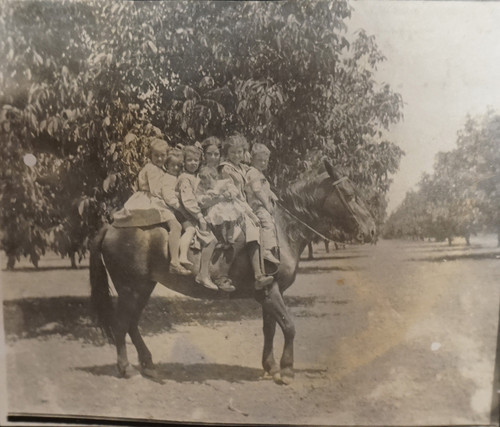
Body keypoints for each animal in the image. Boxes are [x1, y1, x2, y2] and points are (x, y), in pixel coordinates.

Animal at [90, 160, 376, 384]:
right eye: (350, 195)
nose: (372, 230)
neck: (281, 228)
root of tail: (111, 226)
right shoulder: (270, 290)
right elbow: (289, 327)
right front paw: (286, 370)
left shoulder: (270, 293)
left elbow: (270, 329)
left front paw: (270, 366)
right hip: (130, 288)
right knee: (121, 324)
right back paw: (126, 368)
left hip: (143, 287)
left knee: (131, 324)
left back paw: (148, 364)